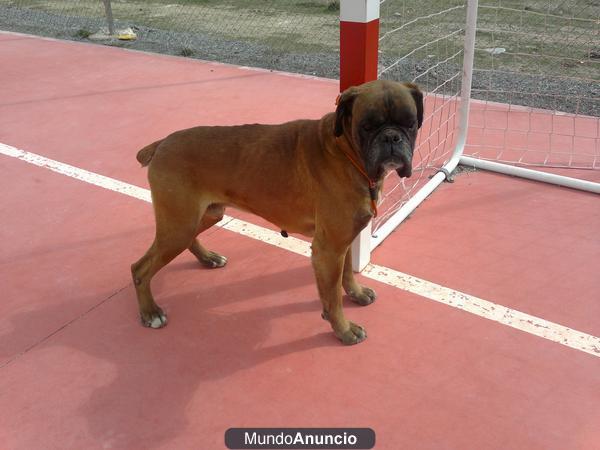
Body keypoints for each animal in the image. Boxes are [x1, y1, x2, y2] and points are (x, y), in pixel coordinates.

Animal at [132, 80, 422, 344]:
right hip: (178, 227)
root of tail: (163, 142)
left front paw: (356, 293)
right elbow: (332, 297)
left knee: (189, 239)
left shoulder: (345, 240)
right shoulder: (328, 250)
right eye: (368, 126)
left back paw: (208, 258)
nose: (391, 137)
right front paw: (343, 329)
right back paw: (150, 312)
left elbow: (347, 274)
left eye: (410, 123)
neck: (346, 151)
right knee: (140, 268)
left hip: (203, 216)